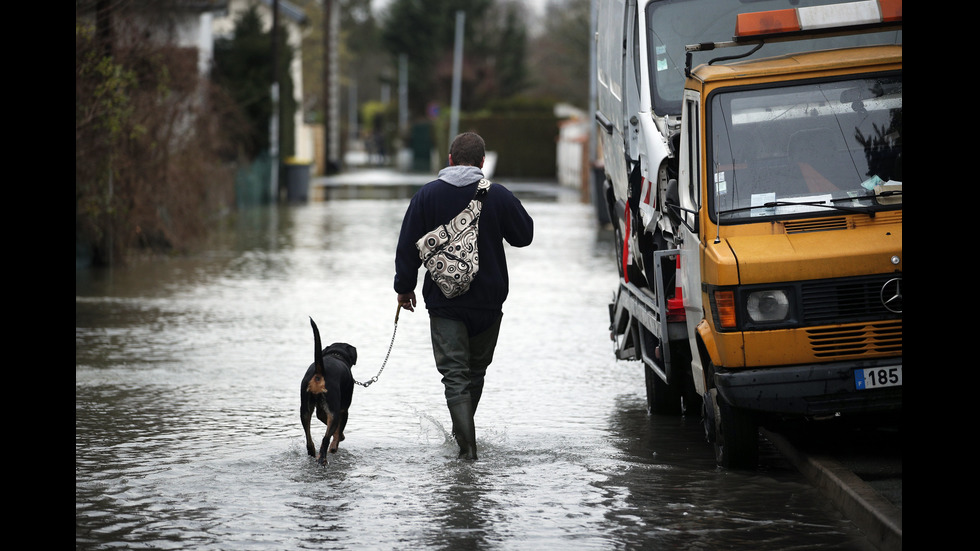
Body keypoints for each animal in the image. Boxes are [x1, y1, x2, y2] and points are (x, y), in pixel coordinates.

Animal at [302, 316, 360, 464]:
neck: (336, 355)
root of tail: (320, 371)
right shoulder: (343, 410)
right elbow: (338, 431)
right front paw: (338, 441)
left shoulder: (322, 411)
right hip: (335, 409)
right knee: (326, 439)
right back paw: (324, 457)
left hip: (305, 410)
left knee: (309, 439)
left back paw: (314, 453)